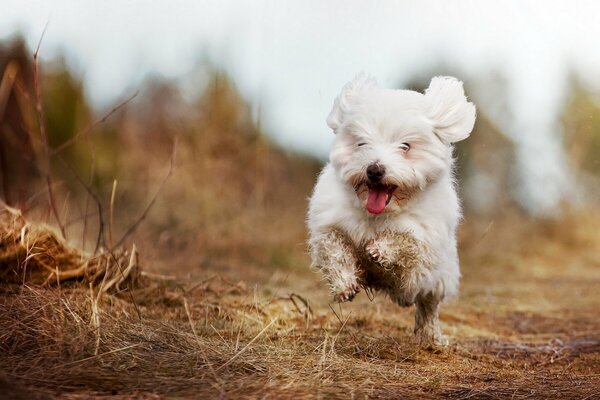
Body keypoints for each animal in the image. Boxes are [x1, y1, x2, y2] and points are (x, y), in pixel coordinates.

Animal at [308, 75, 476, 346]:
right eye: (361, 143)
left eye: (405, 146)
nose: (374, 169)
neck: (379, 214)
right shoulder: (329, 224)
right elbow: (335, 250)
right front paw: (344, 284)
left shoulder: (424, 240)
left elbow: (406, 241)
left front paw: (380, 251)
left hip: (439, 279)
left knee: (428, 307)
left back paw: (431, 337)